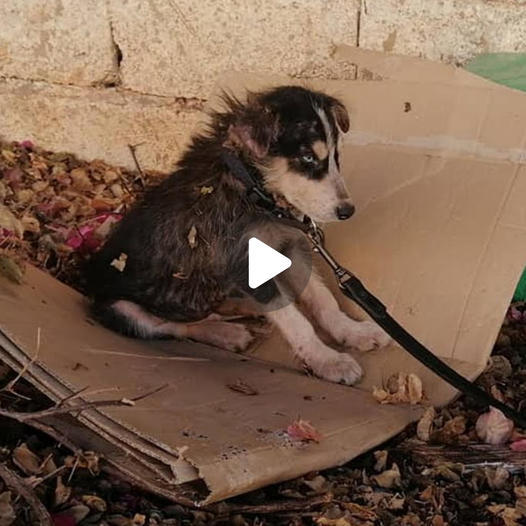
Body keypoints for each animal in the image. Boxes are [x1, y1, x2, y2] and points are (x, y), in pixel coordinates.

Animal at [85, 85, 392, 384]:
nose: (347, 211)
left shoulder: (289, 248)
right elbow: (297, 322)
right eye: (307, 158)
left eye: (336, 158)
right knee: (175, 326)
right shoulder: (244, 262)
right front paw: (328, 361)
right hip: (123, 309)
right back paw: (225, 333)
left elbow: (322, 297)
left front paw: (352, 332)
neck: (254, 191)